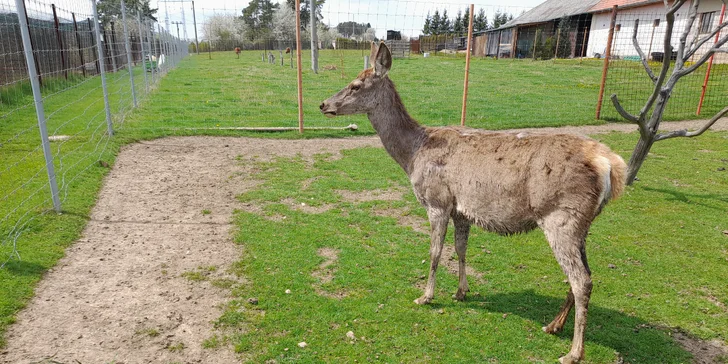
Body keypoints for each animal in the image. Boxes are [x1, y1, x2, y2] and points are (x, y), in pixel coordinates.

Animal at [322, 41, 628, 362]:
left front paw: (425, 296)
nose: (323, 104)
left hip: (561, 217)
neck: (412, 155)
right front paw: (461, 292)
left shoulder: (437, 201)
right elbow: (460, 249)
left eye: (356, 85)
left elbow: (434, 252)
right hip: (582, 223)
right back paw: (553, 325)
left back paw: (574, 352)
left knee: (581, 279)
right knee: (586, 274)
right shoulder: (461, 209)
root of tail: (610, 165)